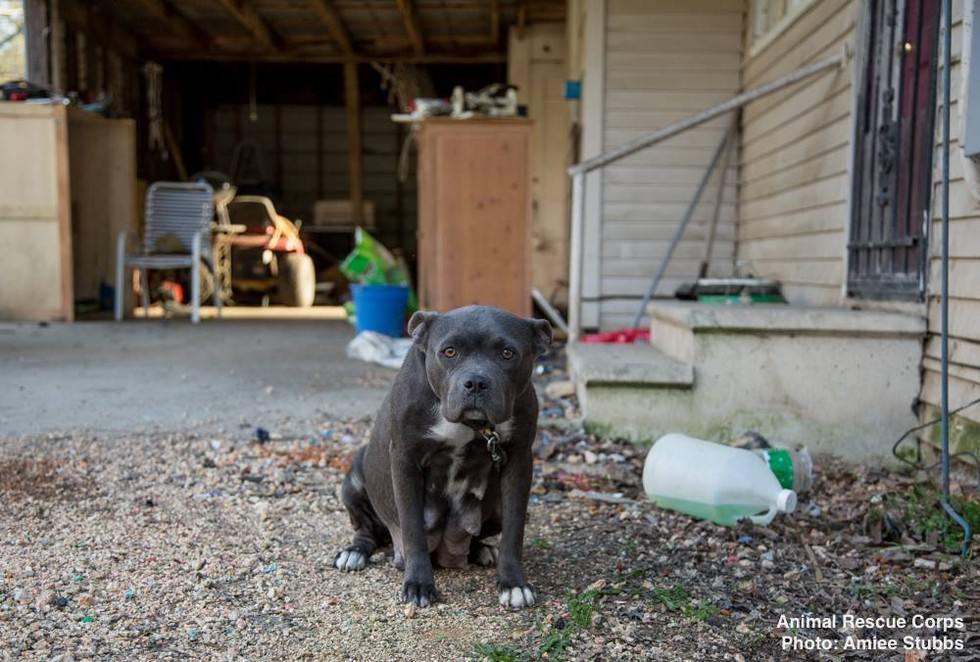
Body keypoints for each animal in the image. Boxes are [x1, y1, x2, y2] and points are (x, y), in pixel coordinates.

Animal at [334, 308, 552, 608]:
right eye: (449, 351)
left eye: (508, 353)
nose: (476, 382)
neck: (472, 425)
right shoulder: (405, 462)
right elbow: (412, 529)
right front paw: (419, 584)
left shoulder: (518, 461)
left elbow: (514, 529)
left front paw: (513, 583)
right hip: (353, 481)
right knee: (367, 530)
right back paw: (354, 552)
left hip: (494, 506)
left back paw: (481, 550)